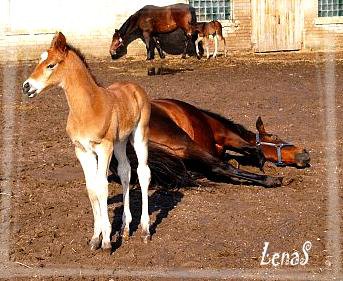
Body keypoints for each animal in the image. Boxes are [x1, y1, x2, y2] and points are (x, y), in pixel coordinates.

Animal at [22, 31, 152, 250]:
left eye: (51, 65)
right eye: (39, 60)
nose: (26, 86)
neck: (88, 107)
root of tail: (135, 87)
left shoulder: (103, 147)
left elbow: (102, 186)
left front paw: (106, 240)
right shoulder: (82, 150)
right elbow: (91, 188)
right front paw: (95, 238)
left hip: (139, 135)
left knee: (143, 173)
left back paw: (145, 230)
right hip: (120, 142)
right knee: (125, 171)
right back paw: (125, 228)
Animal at [111, 98, 312, 188]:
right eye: (275, 137)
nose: (305, 154)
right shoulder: (227, 136)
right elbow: (253, 149)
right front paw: (261, 163)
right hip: (184, 142)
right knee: (219, 168)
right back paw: (271, 180)